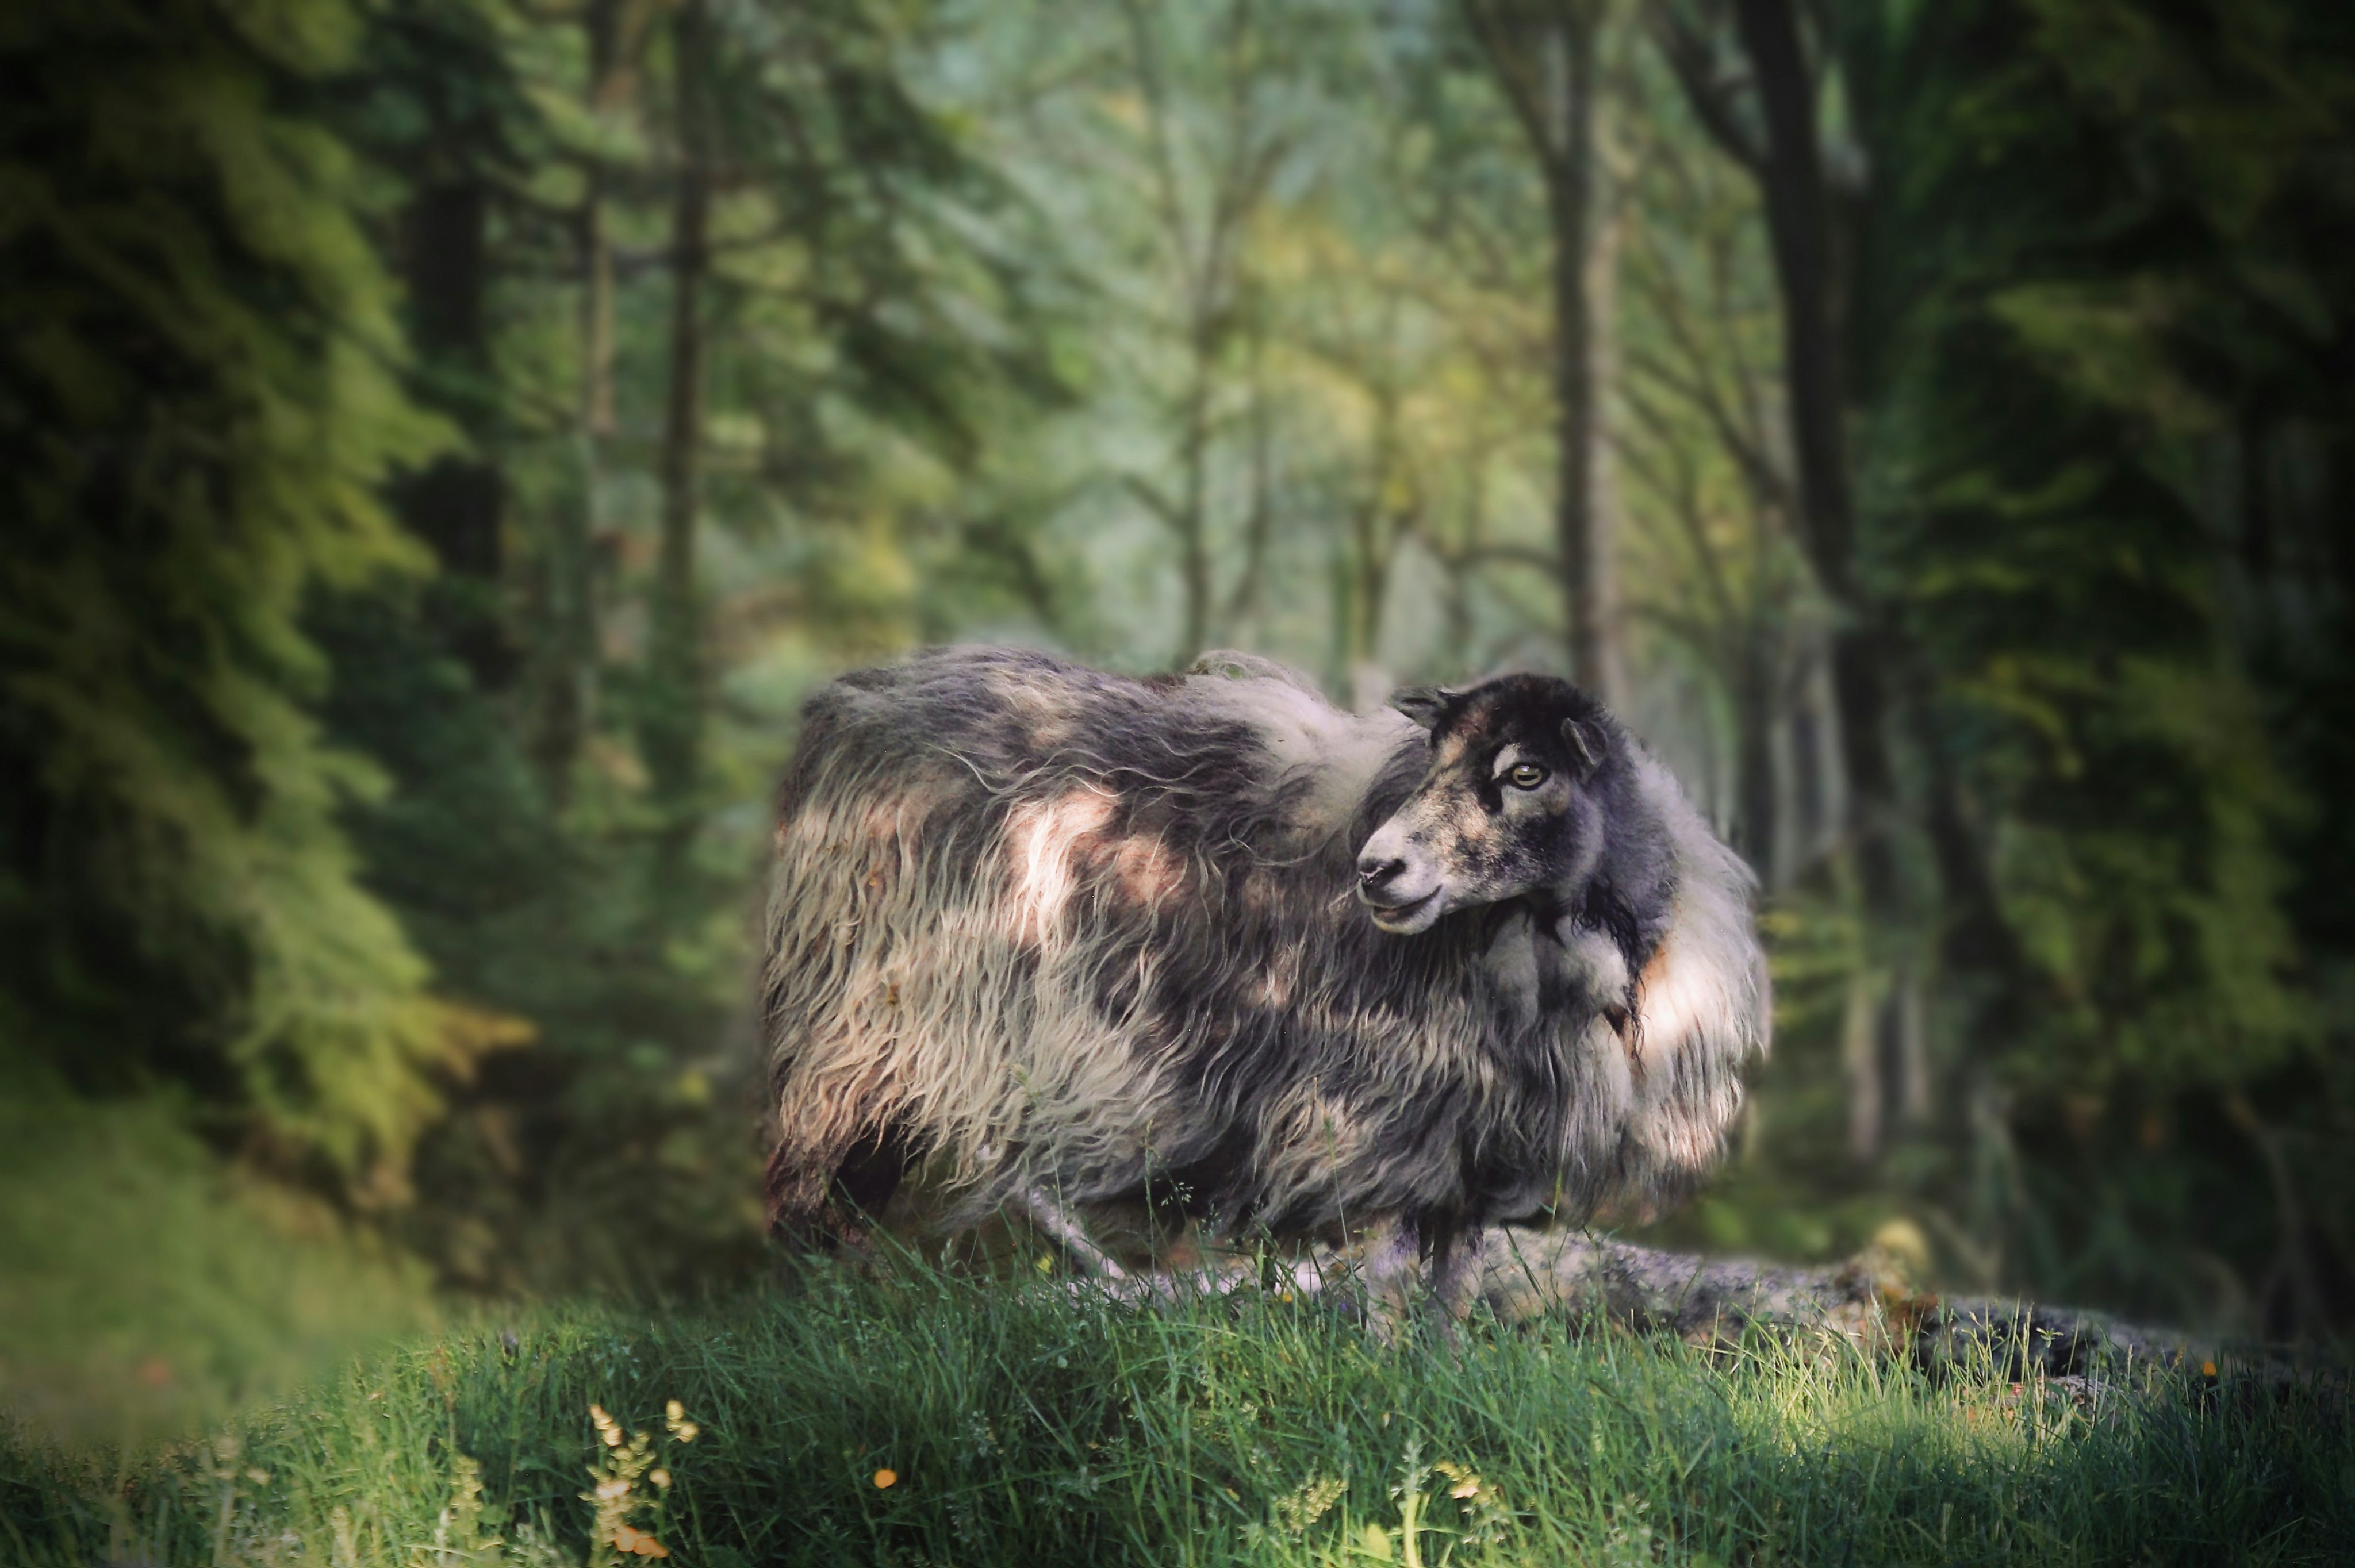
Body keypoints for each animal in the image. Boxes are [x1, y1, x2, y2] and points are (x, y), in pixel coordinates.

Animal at [759, 645, 1767, 1308]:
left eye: (1527, 773)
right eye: (1433, 763)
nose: (1377, 870)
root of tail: (858, 703)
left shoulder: (1469, 1151)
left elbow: (1448, 1296)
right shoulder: (1388, 1124)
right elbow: (1395, 1295)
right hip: (876, 1032)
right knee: (812, 1195)